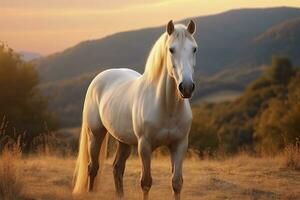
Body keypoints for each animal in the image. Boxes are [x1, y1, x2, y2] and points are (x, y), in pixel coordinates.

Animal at [73, 19, 197, 200]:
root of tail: (99, 78)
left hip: (124, 141)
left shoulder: (179, 145)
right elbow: (146, 182)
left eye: (194, 49)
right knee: (93, 167)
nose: (186, 87)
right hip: (95, 135)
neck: (166, 107)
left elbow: (177, 182)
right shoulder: (144, 145)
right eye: (171, 49)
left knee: (117, 168)